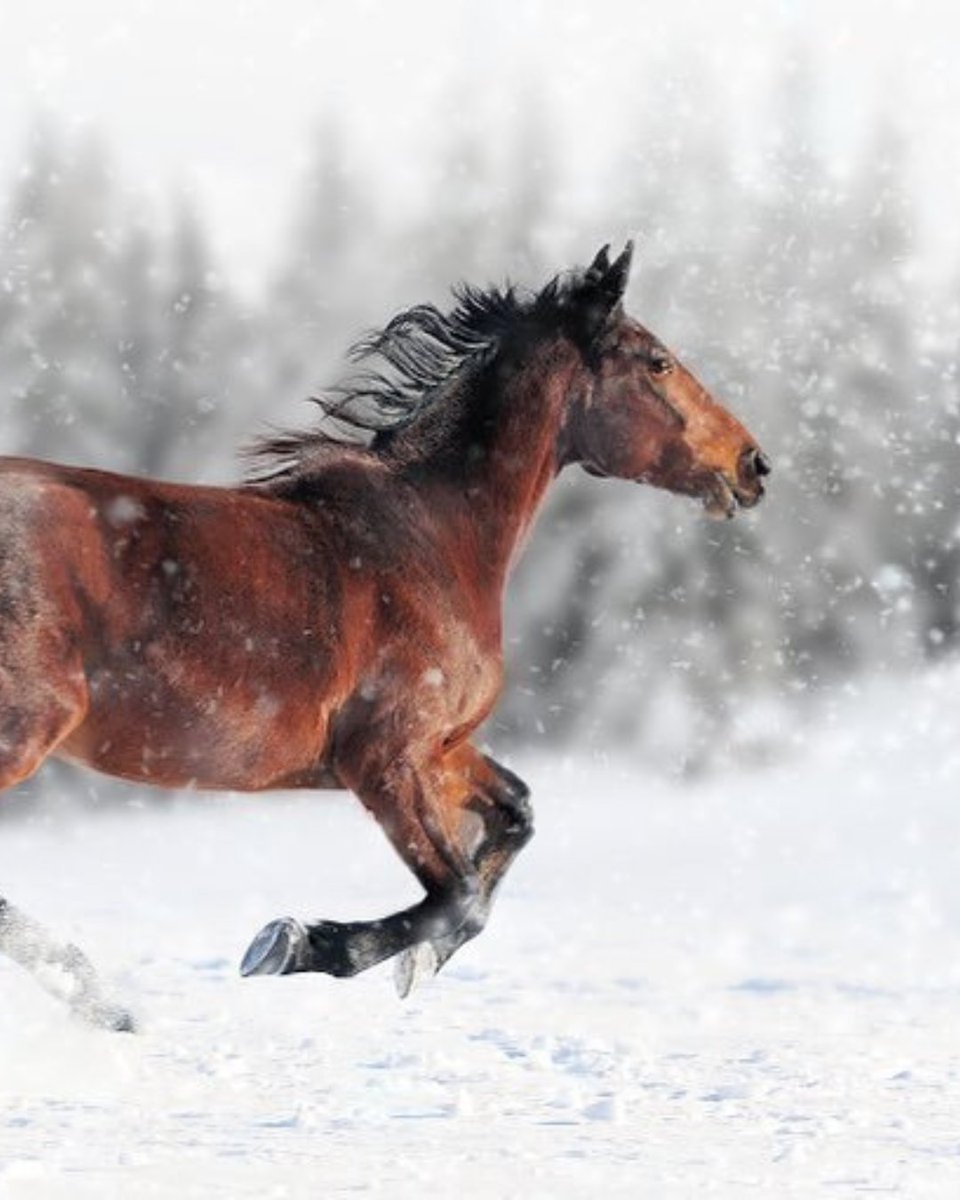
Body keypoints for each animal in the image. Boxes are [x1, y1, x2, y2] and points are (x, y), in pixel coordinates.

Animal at [0, 242, 769, 1030]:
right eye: (657, 362)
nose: (752, 465)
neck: (434, 532)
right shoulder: (384, 756)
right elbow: (456, 898)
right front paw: (290, 944)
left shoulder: (440, 747)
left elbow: (515, 815)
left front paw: (412, 965)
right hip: (24, 729)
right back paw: (100, 999)